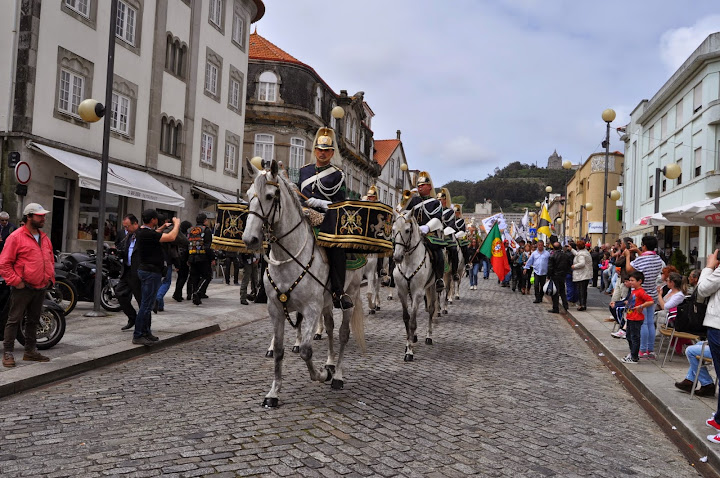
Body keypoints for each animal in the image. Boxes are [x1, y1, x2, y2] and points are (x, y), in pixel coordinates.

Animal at [242, 159, 365, 408]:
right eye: (249, 195)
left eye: (270, 196)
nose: (250, 239)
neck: (287, 256)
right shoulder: (276, 309)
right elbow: (279, 350)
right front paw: (273, 393)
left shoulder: (310, 308)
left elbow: (306, 351)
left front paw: (322, 375)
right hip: (327, 302)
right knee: (330, 327)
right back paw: (329, 362)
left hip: (351, 294)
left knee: (343, 334)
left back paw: (337, 375)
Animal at [392, 211, 439, 362]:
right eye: (393, 229)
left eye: (407, 230)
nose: (397, 257)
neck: (408, 261)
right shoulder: (402, 292)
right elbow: (407, 319)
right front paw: (408, 344)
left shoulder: (418, 292)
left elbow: (412, 322)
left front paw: (409, 352)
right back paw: (415, 337)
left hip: (432, 287)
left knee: (431, 309)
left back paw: (429, 336)